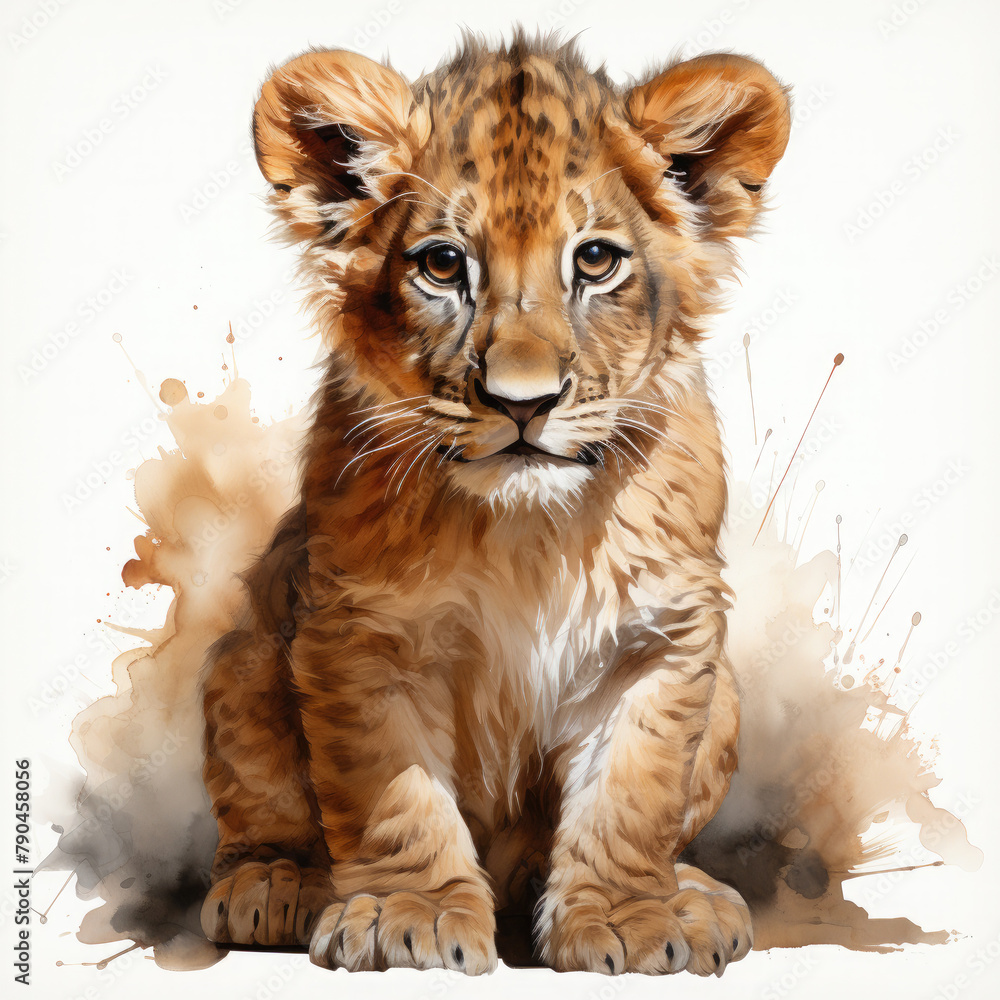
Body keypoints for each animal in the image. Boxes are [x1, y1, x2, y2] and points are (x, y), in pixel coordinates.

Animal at [198, 32, 791, 976]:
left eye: (595, 260)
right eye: (443, 265)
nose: (524, 403)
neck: (528, 531)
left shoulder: (660, 638)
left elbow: (633, 794)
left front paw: (628, 917)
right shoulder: (359, 635)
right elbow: (393, 793)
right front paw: (408, 916)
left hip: (725, 695)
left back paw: (693, 896)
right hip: (243, 661)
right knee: (263, 815)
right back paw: (274, 886)